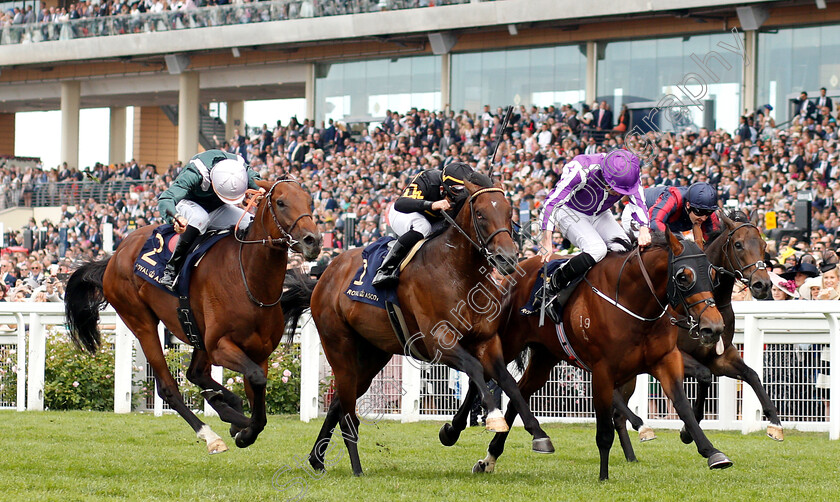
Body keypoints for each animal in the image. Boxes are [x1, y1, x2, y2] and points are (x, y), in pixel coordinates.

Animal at [65, 179, 322, 454]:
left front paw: (240, 422)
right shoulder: (220, 346)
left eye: (309, 201)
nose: (314, 240)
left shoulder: (259, 352)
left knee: (196, 374)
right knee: (168, 388)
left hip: (195, 331)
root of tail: (115, 254)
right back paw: (211, 433)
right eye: (281, 202)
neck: (249, 280)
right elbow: (256, 382)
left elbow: (257, 391)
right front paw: (244, 430)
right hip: (141, 321)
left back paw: (224, 405)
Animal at [306, 177, 556, 478]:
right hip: (338, 345)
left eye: (509, 212)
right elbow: (475, 369)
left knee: (338, 403)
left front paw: (538, 433)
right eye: (481, 214)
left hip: (373, 354)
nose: (506, 259)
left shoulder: (487, 340)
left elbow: (508, 382)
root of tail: (326, 272)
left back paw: (317, 459)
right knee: (346, 413)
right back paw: (356, 468)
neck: (458, 272)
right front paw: (490, 419)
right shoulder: (439, 341)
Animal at [440, 229, 728, 480]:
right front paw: (603, 476)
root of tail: (513, 274)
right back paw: (454, 431)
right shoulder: (602, 370)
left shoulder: (665, 359)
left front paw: (711, 451)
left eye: (713, 274)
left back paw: (494, 456)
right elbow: (604, 430)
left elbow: (685, 403)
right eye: (683, 276)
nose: (713, 327)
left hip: (545, 357)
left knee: (517, 393)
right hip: (504, 342)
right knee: (484, 379)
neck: (632, 301)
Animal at [612, 210, 776, 456]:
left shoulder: (719, 357)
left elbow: (752, 375)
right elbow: (704, 376)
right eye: (738, 244)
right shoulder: (675, 356)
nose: (762, 285)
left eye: (764, 245)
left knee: (616, 414)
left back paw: (632, 456)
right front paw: (687, 432)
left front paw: (775, 423)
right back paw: (641, 426)